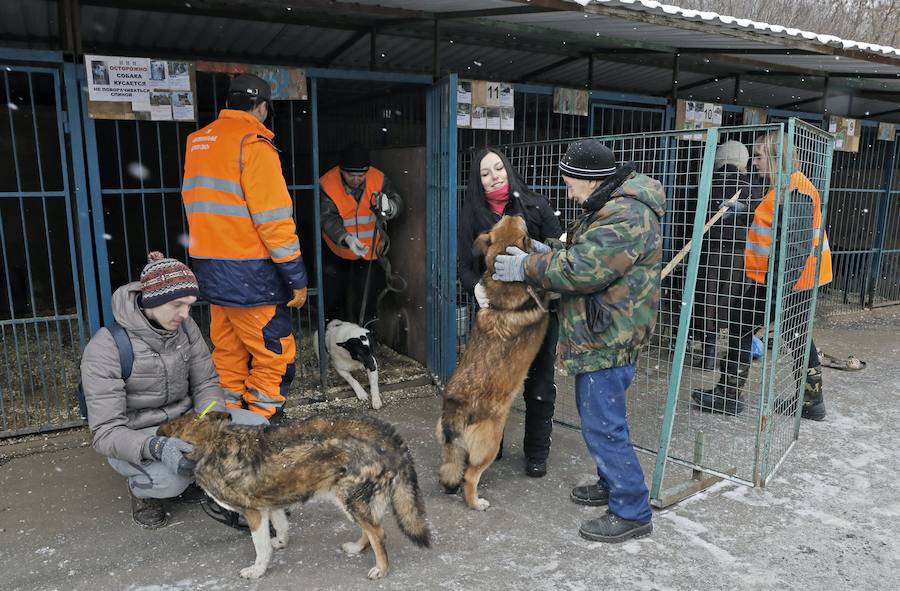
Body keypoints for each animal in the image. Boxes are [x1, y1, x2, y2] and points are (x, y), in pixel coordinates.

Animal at [157, 414, 428, 580]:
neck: (212, 442)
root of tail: (386, 433)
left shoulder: (254, 513)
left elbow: (261, 547)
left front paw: (257, 571)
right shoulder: (270, 505)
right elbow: (281, 526)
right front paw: (280, 542)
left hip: (349, 497)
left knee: (378, 532)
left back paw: (381, 569)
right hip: (351, 499)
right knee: (371, 529)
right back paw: (356, 547)